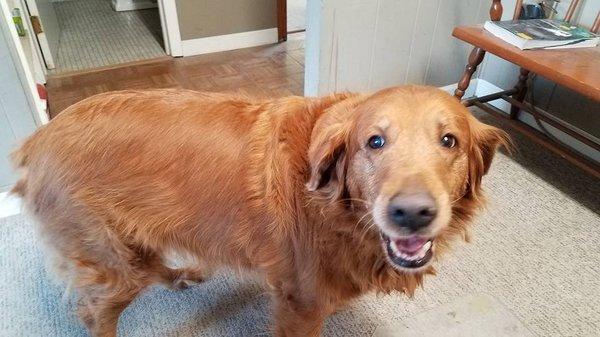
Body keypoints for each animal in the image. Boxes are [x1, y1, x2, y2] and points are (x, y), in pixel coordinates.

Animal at [11, 85, 508, 334]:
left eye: (449, 141)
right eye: (375, 142)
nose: (412, 213)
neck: (336, 213)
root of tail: (38, 140)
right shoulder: (301, 304)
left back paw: (180, 276)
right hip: (110, 263)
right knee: (95, 314)